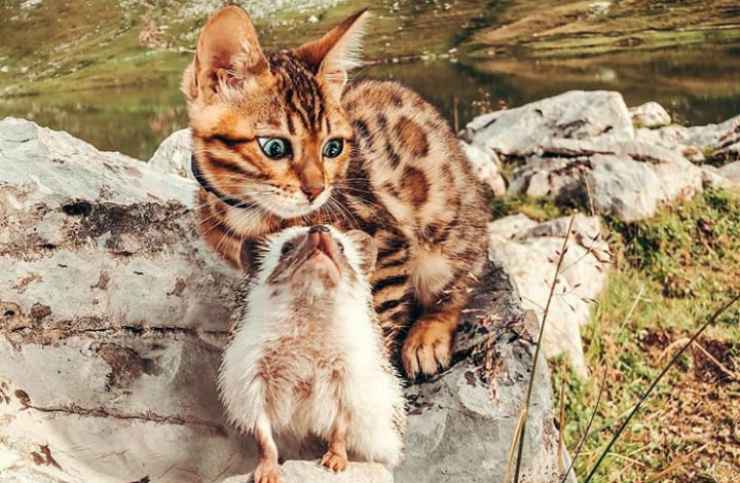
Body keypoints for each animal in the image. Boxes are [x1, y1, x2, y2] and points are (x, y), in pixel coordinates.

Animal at [182, 5, 488, 380]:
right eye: (274, 147)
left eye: (333, 147)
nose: (316, 190)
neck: (249, 213)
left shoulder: (384, 247)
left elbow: (372, 331)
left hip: (444, 238)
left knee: (459, 285)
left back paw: (426, 336)